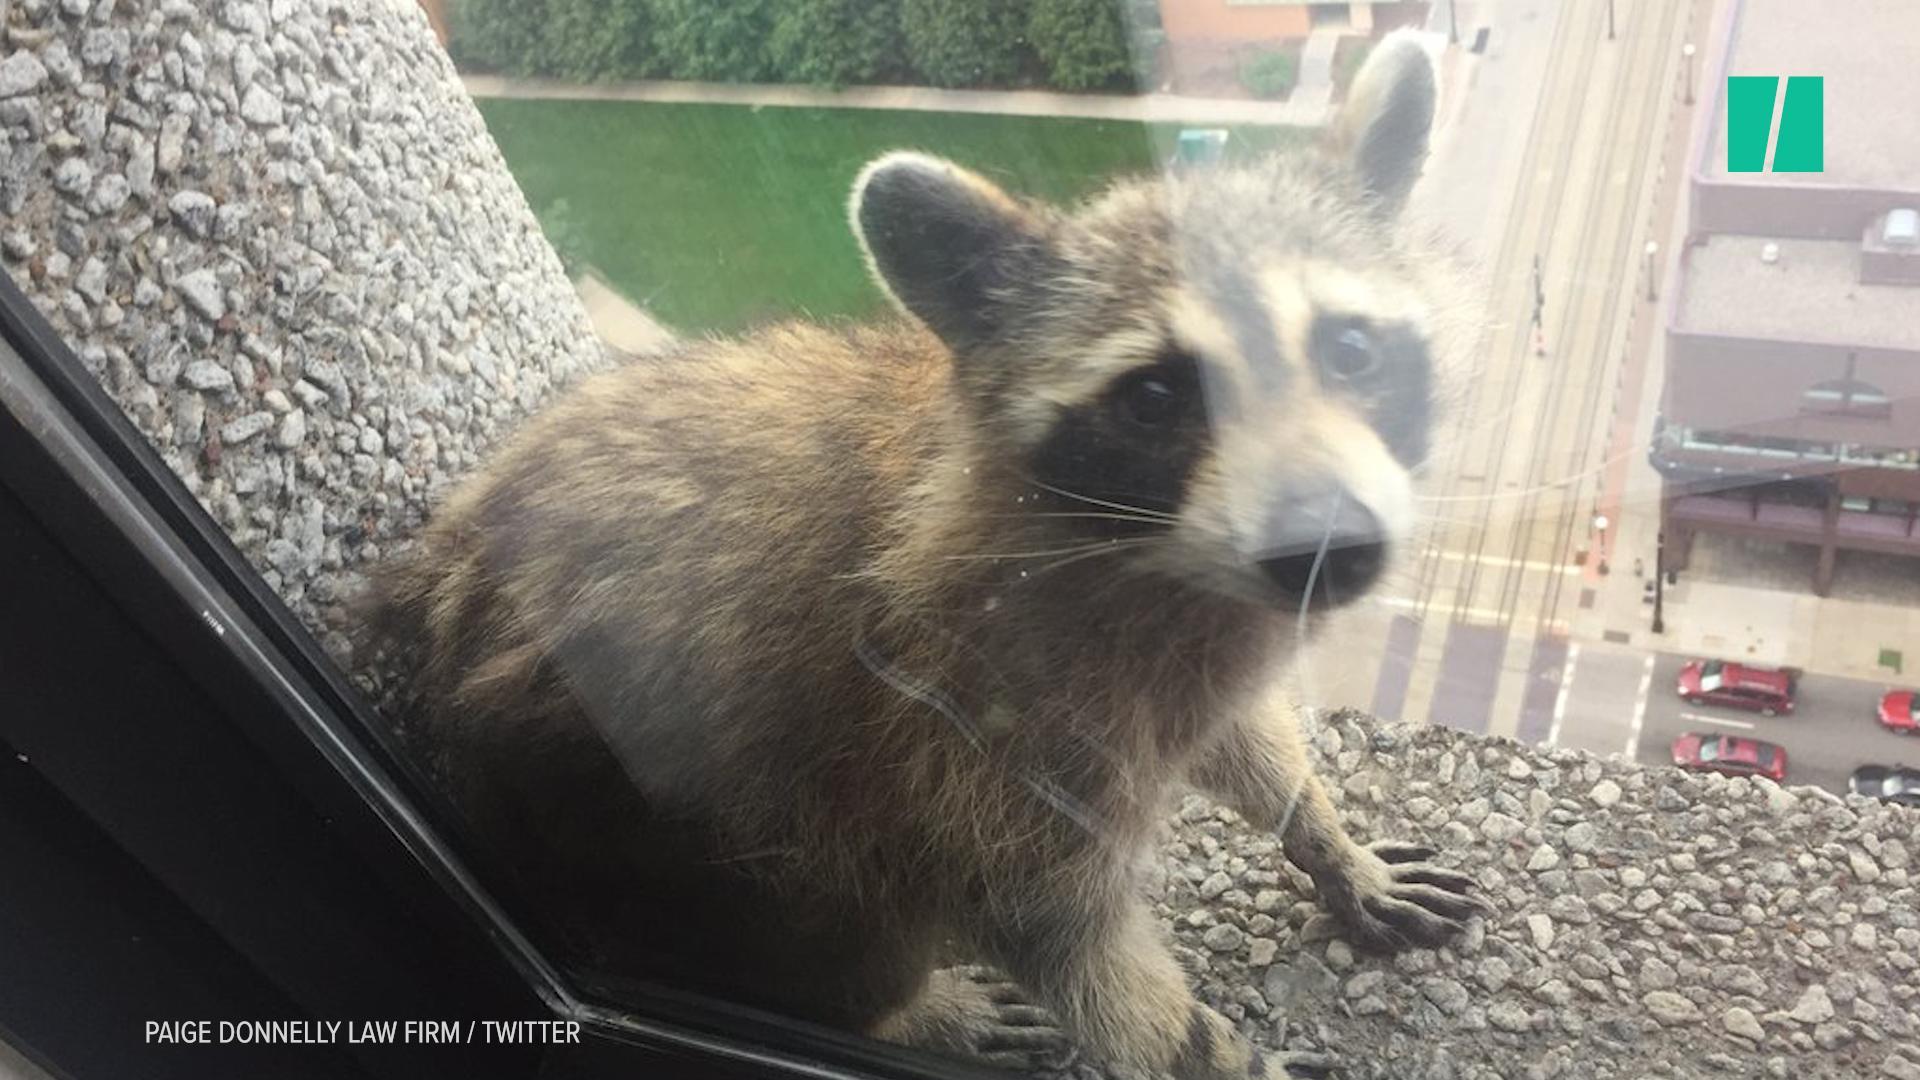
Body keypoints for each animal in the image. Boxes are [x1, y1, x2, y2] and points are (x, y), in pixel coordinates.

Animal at [372, 32, 1478, 1080]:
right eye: (1158, 399)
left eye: (1350, 350)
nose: (1330, 548)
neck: (1152, 557)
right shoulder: (971, 723)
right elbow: (1065, 941)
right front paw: (1214, 1050)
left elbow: (1241, 735)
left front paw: (1320, 832)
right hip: (656, 837)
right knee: (834, 910)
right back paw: (902, 1008)